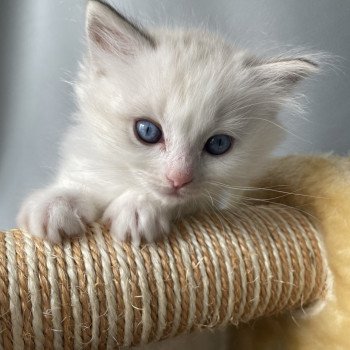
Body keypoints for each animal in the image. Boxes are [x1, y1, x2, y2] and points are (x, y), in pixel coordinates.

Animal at [16, 0, 318, 245]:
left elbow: (168, 199)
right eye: (148, 131)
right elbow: (80, 183)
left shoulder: (205, 203)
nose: (179, 179)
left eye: (219, 144)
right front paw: (55, 205)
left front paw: (138, 209)